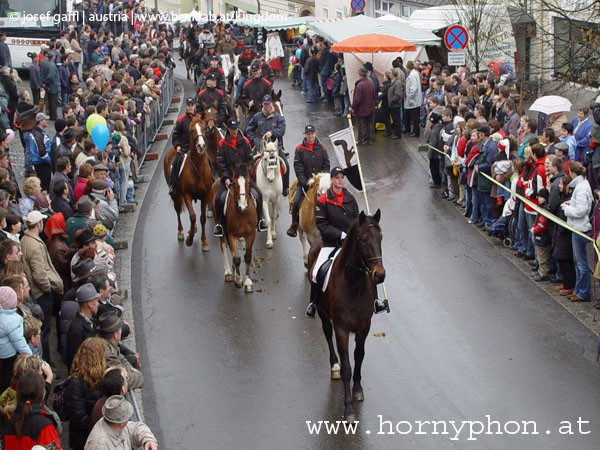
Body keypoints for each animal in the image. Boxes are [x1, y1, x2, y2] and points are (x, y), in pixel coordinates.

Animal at [163, 115, 212, 250]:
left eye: (204, 128)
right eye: (191, 130)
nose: (201, 146)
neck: (197, 168)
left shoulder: (205, 195)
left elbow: (202, 218)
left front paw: (204, 242)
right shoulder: (186, 194)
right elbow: (193, 216)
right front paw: (189, 240)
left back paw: (193, 229)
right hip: (175, 194)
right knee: (178, 209)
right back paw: (181, 232)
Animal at [210, 162, 256, 292]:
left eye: (248, 181)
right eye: (234, 183)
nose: (242, 207)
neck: (242, 214)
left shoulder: (251, 234)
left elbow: (247, 257)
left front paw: (248, 282)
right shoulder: (232, 235)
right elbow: (237, 258)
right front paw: (238, 280)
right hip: (221, 230)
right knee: (224, 246)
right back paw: (229, 273)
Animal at [308, 210, 386, 422]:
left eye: (381, 238)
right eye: (364, 240)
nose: (380, 275)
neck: (353, 284)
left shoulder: (364, 326)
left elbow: (359, 357)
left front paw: (357, 390)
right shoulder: (341, 328)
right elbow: (346, 367)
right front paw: (348, 408)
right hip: (322, 312)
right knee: (327, 334)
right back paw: (333, 364)